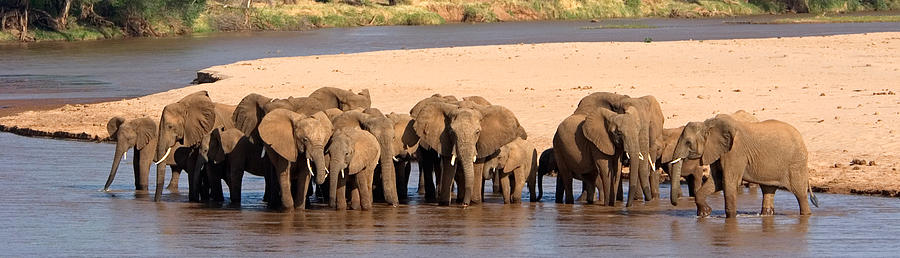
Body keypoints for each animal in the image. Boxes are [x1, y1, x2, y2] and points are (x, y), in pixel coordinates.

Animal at [668, 114, 824, 217]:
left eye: (688, 142)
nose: (675, 204)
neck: (709, 125)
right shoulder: (719, 151)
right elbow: (717, 182)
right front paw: (705, 213)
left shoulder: (735, 152)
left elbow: (729, 182)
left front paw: (730, 218)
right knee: (768, 190)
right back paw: (766, 214)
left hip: (796, 163)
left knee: (800, 194)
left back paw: (806, 214)